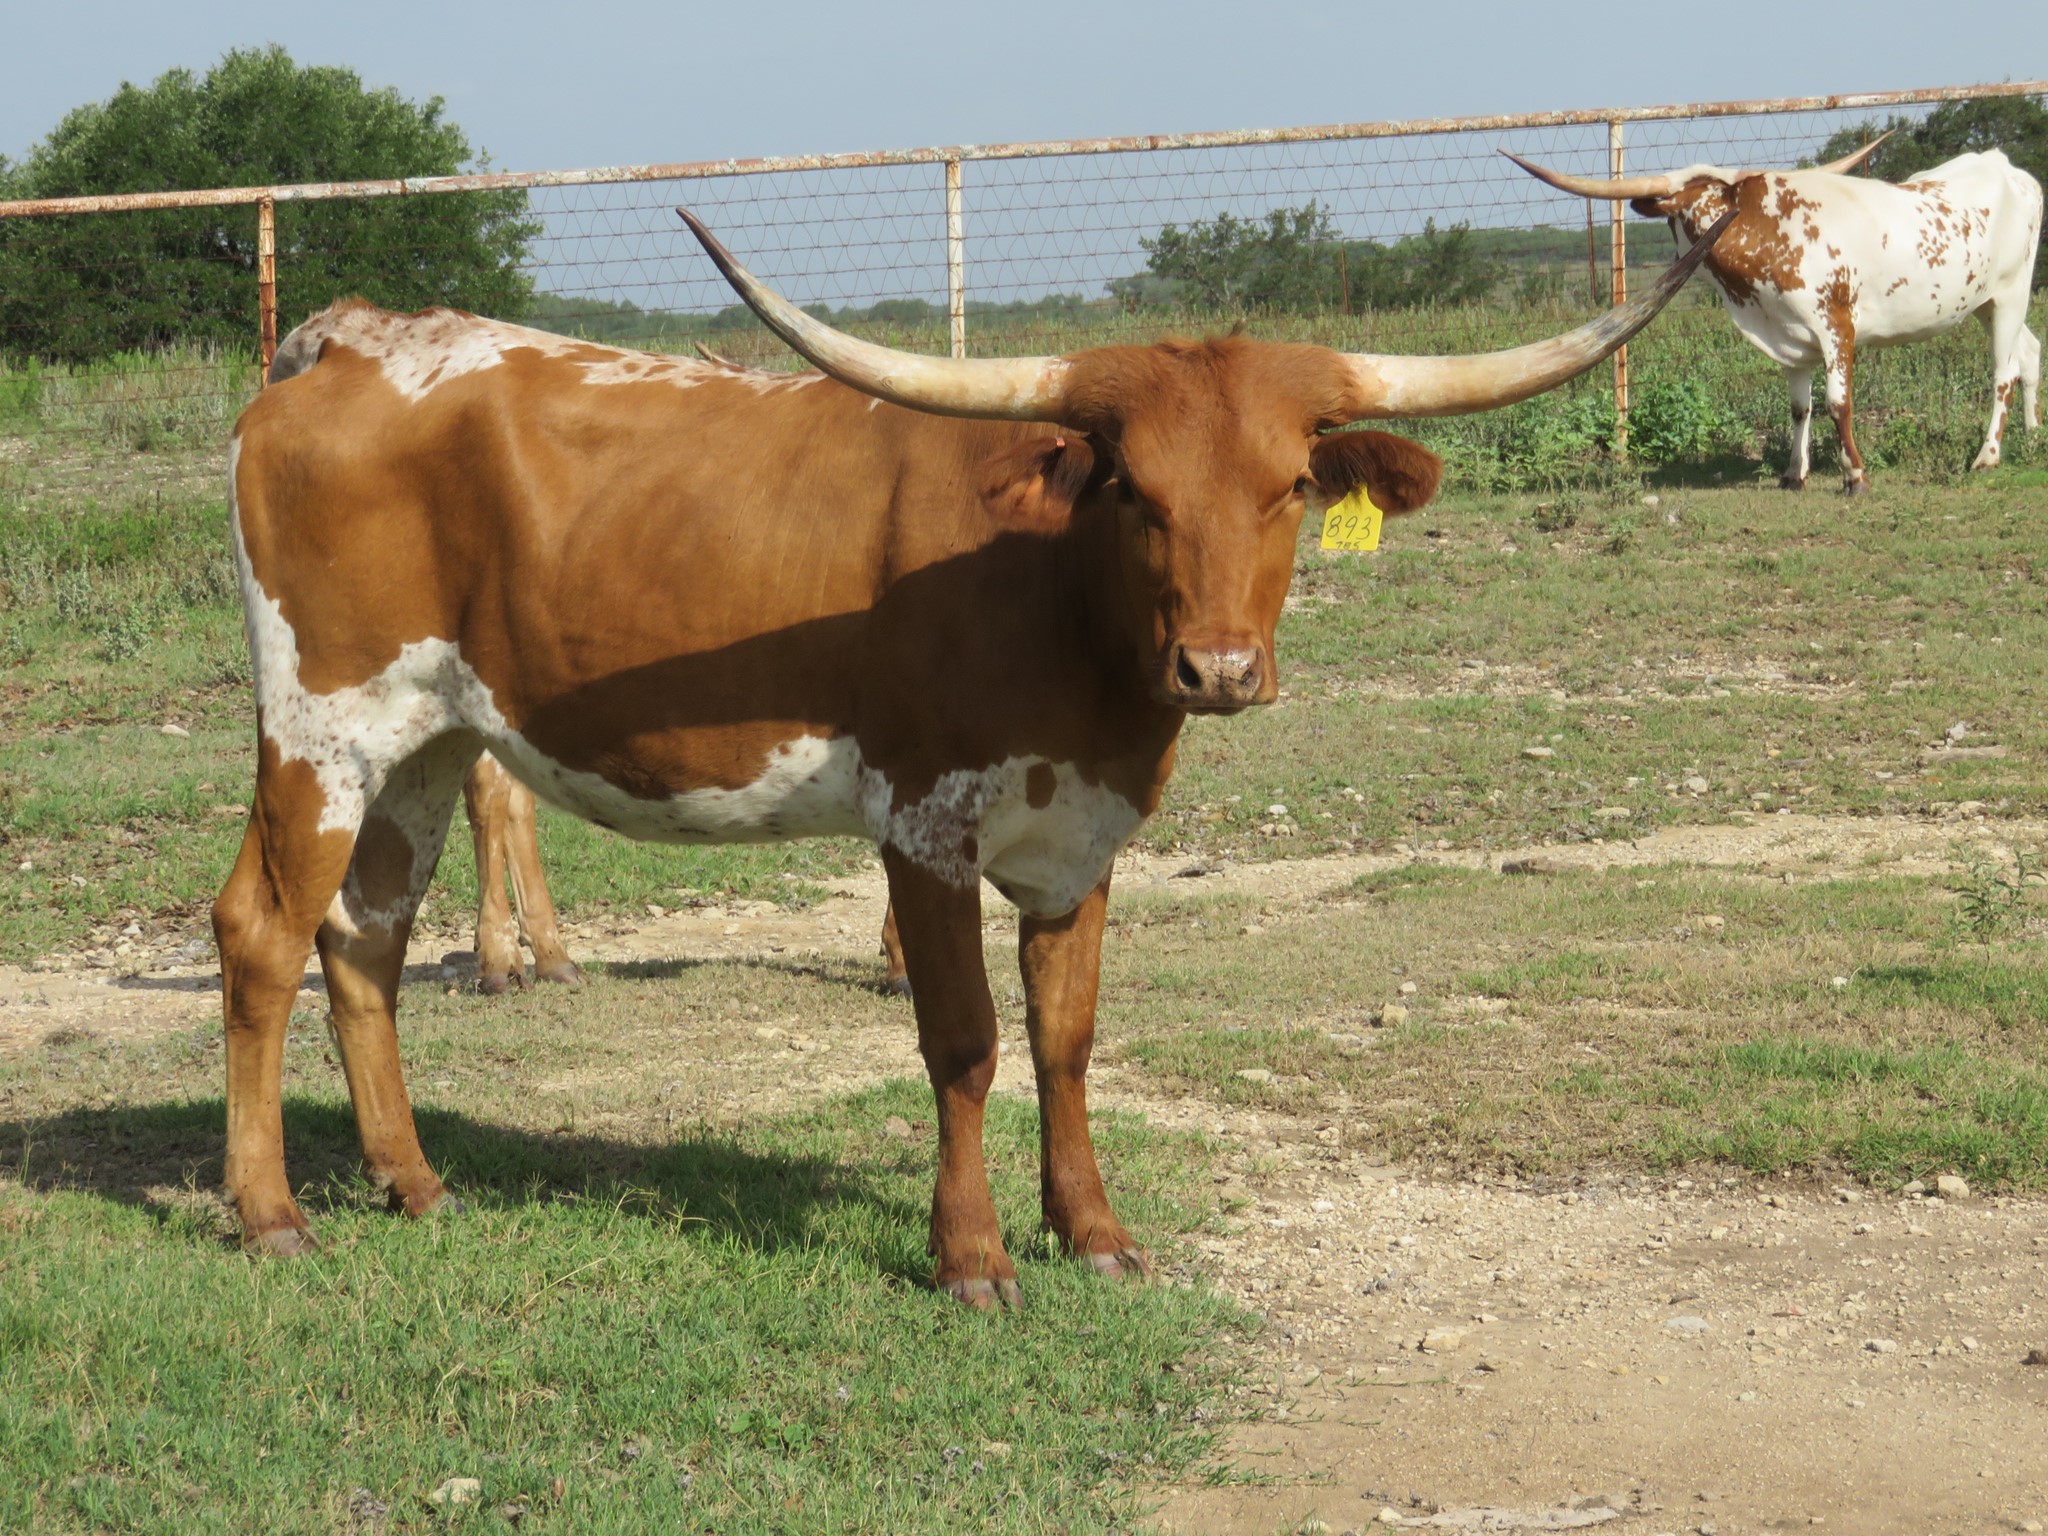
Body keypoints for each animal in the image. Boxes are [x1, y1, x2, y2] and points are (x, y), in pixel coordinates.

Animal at [211, 207, 1725, 1307]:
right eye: (1135, 491)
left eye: (1293, 485)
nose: (1219, 671)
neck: (1056, 600)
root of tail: (346, 346)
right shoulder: (923, 826)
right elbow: (964, 1042)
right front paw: (974, 1257)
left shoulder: (1082, 841)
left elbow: (1066, 1037)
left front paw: (1094, 1231)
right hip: (320, 724)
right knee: (264, 932)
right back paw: (272, 1213)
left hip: (425, 741)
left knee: (366, 938)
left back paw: (413, 1184)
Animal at [1504, 137, 2043, 492]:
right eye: (1692, 208)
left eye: (1720, 200)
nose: (1719, 229)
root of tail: (2003, 165)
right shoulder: (1788, 334)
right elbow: (1800, 407)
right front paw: (1792, 473)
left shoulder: (1836, 325)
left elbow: (1838, 404)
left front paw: (1854, 474)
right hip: (1985, 303)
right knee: (2029, 353)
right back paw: (2034, 436)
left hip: (2011, 293)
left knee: (2002, 373)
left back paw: (1987, 456)